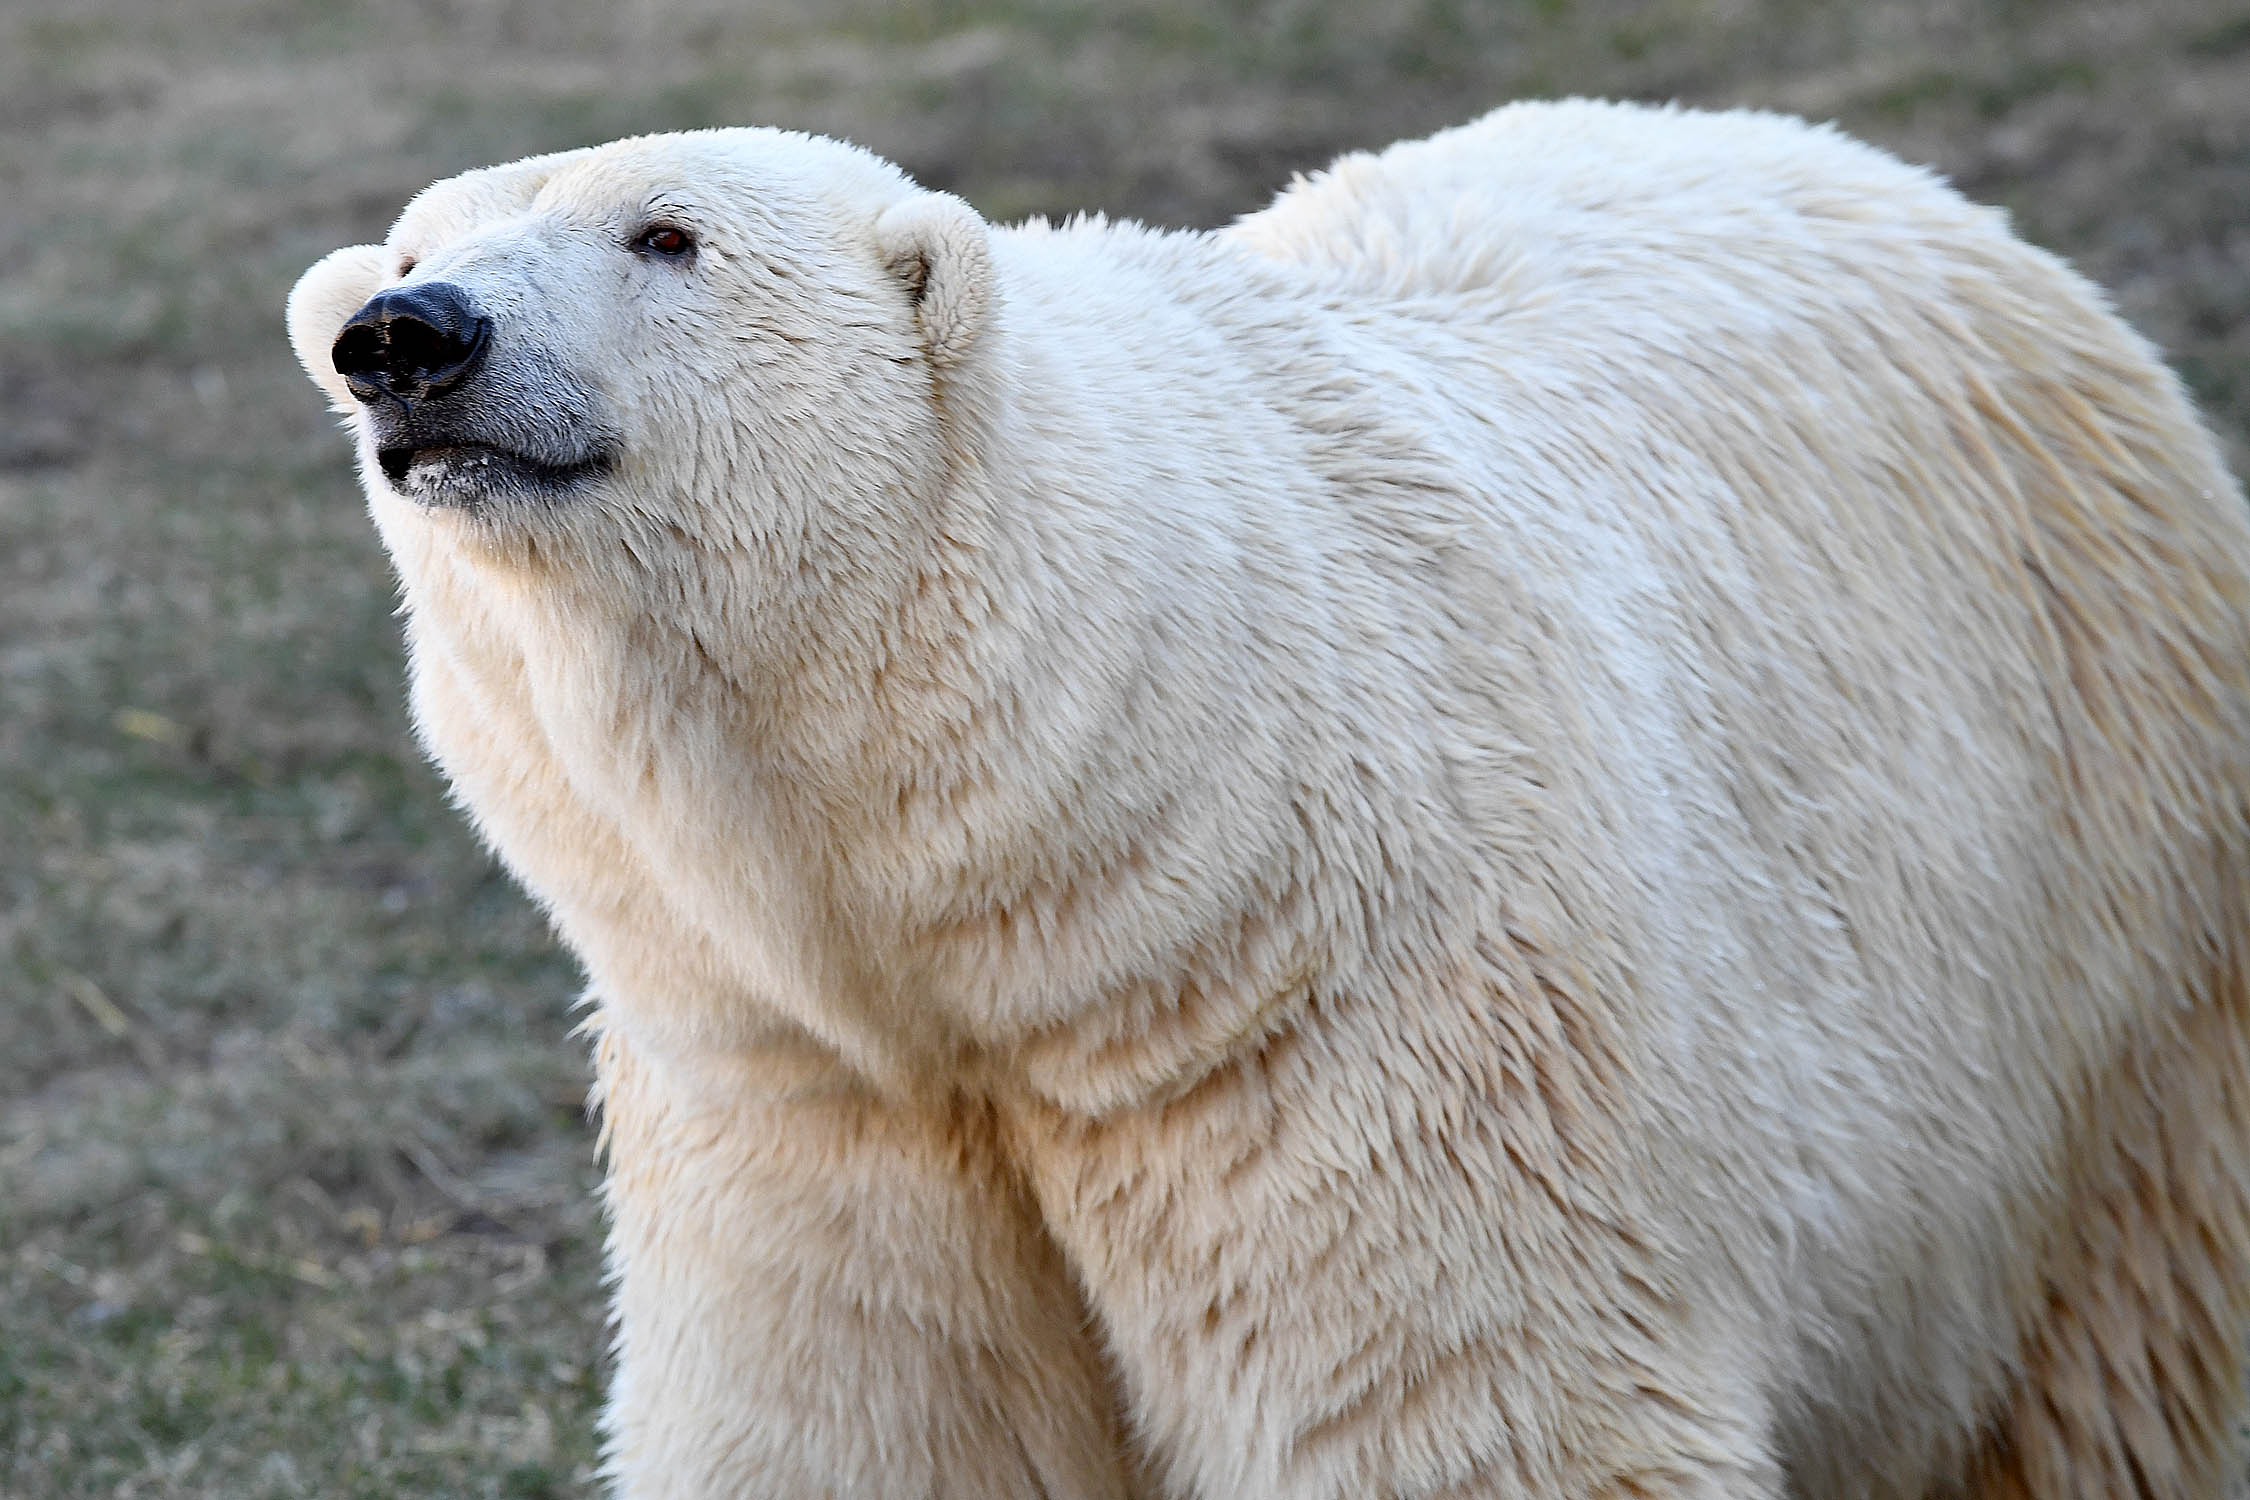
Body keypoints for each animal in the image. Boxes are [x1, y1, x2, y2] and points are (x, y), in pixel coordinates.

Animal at [286, 99, 2250, 1499]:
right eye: (413, 243)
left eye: (666, 233)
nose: (405, 335)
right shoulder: (798, 1093)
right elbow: (864, 1423)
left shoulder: (1356, 1023)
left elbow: (1463, 1412)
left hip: (2115, 974)